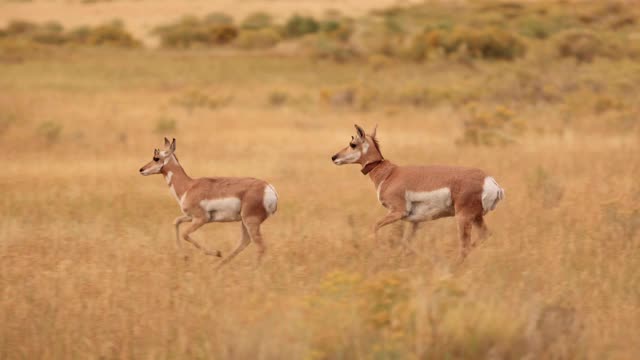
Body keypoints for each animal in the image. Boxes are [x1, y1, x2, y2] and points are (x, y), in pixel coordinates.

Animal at [140, 139, 278, 266]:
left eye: (156, 158)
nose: (141, 169)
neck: (188, 186)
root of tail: (268, 187)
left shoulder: (201, 219)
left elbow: (185, 234)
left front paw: (216, 252)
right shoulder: (190, 217)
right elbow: (176, 222)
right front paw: (185, 256)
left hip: (250, 221)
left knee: (260, 246)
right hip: (245, 222)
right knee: (245, 242)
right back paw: (218, 266)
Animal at [330, 125, 504, 260]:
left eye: (352, 144)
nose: (334, 157)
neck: (390, 174)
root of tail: (489, 181)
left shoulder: (397, 212)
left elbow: (375, 226)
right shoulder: (415, 222)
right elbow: (405, 243)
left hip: (463, 218)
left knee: (465, 247)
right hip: (476, 217)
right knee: (483, 237)